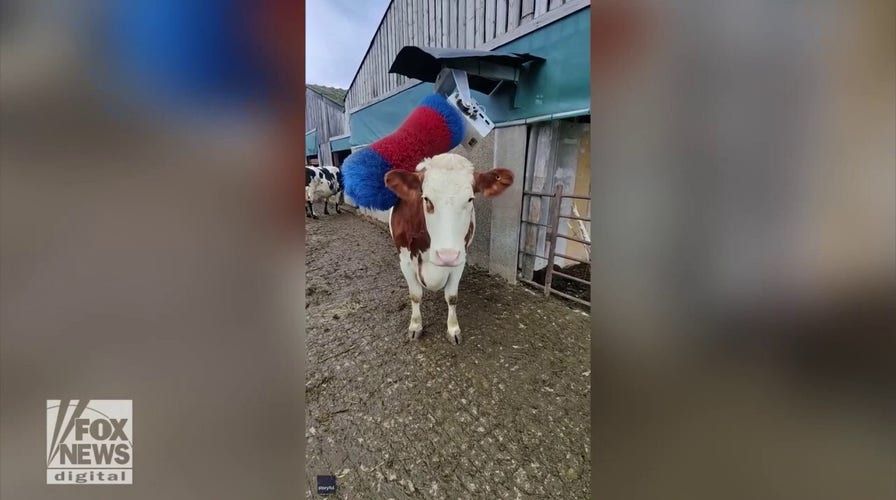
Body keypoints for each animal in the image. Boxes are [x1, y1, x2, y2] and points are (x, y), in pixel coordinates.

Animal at [384, 152, 512, 344]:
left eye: (470, 199)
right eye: (426, 199)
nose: (447, 256)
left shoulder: (460, 259)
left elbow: (451, 297)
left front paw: (453, 329)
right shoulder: (404, 261)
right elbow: (415, 295)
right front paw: (415, 325)